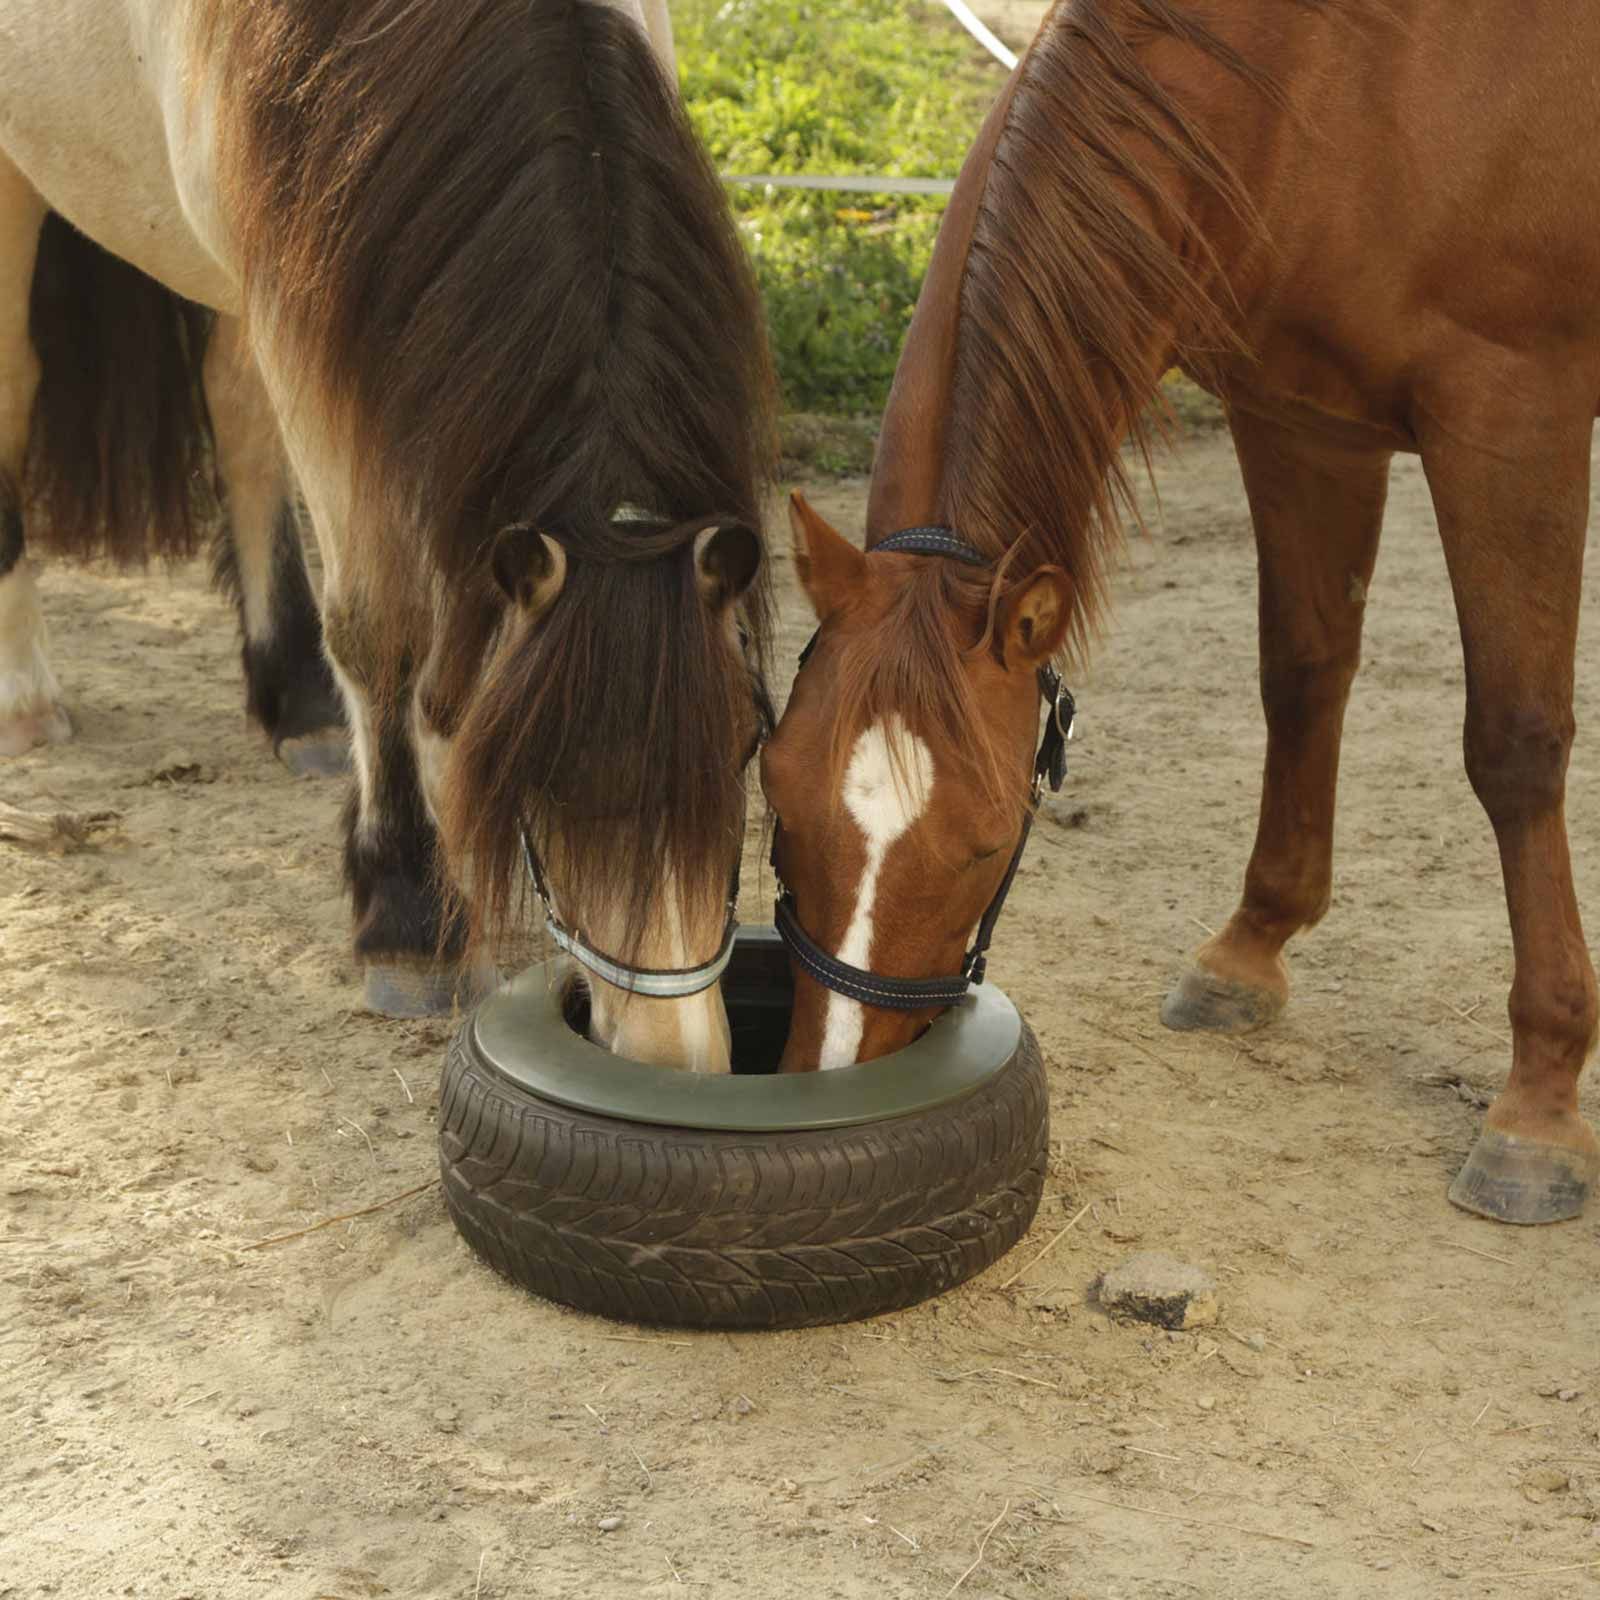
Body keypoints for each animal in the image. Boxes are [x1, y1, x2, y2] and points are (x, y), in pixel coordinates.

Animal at [0, 0, 775, 1070]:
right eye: (535, 770)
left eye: (746, 741)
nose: (675, 1059)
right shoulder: (306, 335)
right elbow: (381, 629)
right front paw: (407, 913)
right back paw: (27, 700)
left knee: (237, 421)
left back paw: (294, 698)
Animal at [762, 0, 1600, 1219]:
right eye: (773, 797)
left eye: (988, 841)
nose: (833, 1089)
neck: (1340, 76)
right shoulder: (1301, 421)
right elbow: (1301, 674)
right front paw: (1249, 947)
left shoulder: (1511, 420)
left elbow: (1515, 743)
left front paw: (1538, 1099)